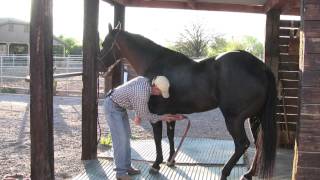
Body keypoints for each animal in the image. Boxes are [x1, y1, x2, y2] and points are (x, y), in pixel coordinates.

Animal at [100, 24, 278, 179]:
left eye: (105, 43)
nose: (101, 67)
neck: (155, 63)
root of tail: (260, 66)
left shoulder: (155, 114)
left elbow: (158, 139)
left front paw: (156, 164)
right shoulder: (170, 113)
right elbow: (170, 135)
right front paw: (171, 160)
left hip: (234, 119)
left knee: (242, 144)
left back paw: (225, 172)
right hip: (255, 118)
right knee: (258, 144)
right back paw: (248, 174)